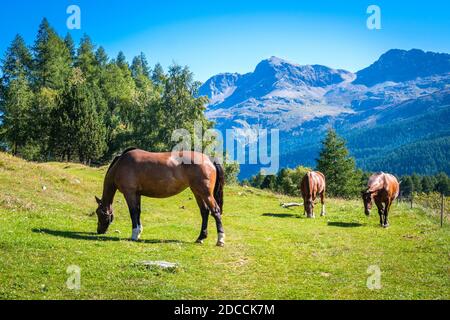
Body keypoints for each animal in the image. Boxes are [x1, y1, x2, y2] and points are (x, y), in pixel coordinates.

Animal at [96, 149, 227, 246]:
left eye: (99, 213)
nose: (99, 231)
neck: (121, 164)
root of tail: (209, 159)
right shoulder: (137, 194)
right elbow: (138, 212)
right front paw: (139, 232)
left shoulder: (130, 193)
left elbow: (133, 213)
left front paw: (134, 235)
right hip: (197, 192)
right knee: (204, 212)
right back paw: (200, 237)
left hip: (206, 194)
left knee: (215, 211)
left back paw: (220, 240)